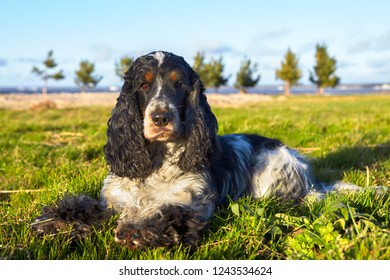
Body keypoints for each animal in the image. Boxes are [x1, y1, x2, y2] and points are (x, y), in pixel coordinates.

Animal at [32, 50, 362, 249]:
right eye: (143, 85)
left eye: (179, 84)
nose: (160, 117)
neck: (157, 161)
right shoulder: (114, 199)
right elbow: (86, 206)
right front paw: (55, 221)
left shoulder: (192, 202)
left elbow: (168, 213)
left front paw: (137, 232)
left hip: (272, 178)